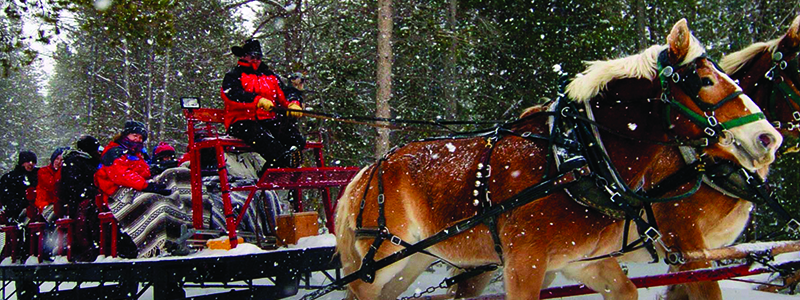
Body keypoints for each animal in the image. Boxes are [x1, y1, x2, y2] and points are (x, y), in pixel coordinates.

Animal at [334, 19, 780, 300]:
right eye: (704, 81)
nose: (768, 137)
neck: (574, 158)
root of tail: (366, 174)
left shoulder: (585, 263)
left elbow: (628, 290)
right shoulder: (525, 266)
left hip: (414, 259)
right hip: (381, 260)